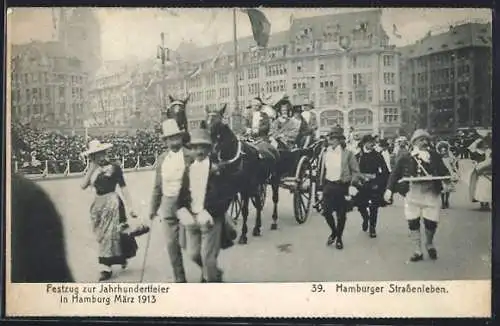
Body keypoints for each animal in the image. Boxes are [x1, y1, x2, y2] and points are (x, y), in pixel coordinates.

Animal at [201, 104, 284, 244]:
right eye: (205, 123)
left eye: (219, 124)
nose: (212, 152)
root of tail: (271, 147)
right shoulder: (228, 188)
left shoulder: (244, 189)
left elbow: (245, 210)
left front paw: (243, 235)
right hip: (258, 184)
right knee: (258, 202)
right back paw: (257, 227)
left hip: (274, 180)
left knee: (275, 199)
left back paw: (274, 221)